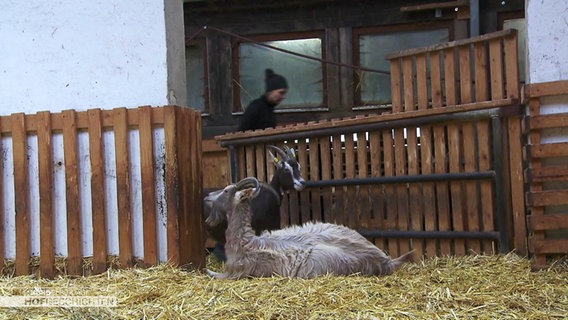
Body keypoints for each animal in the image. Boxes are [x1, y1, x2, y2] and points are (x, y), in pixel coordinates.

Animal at [204, 176, 412, 278]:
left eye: (226, 191)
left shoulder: (234, 272)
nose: (207, 197)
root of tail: (384, 260)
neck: (246, 242)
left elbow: (213, 274)